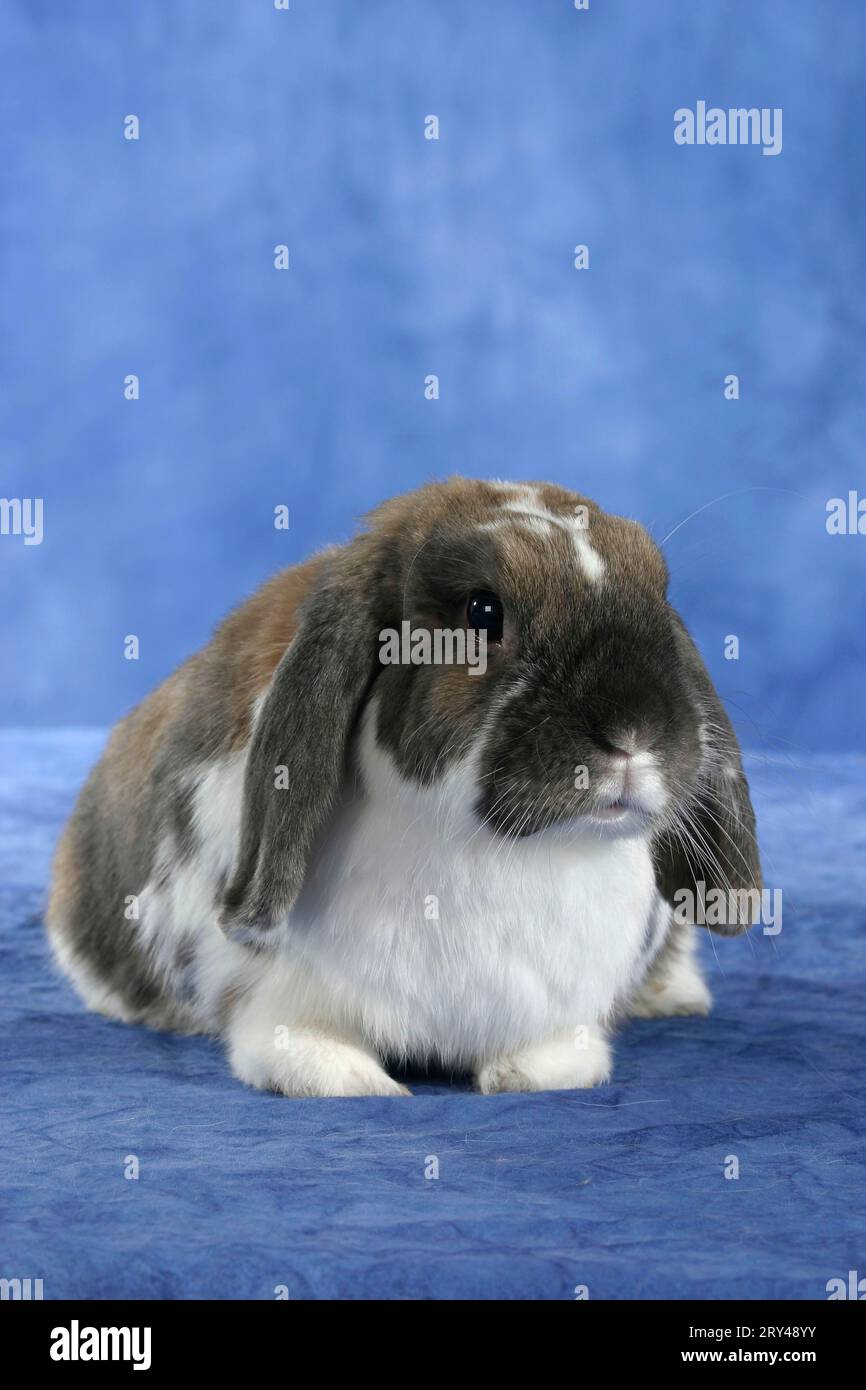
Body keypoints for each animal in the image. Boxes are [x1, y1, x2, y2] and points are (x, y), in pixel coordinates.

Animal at [47, 478, 762, 1097]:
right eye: (483, 611)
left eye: (660, 595)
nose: (635, 734)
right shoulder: (274, 996)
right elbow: (295, 1039)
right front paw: (348, 1080)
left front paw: (536, 1071)